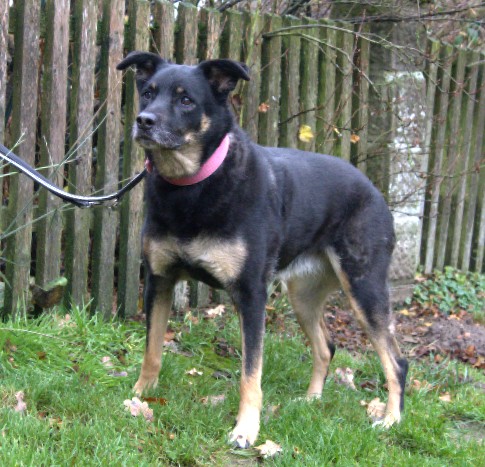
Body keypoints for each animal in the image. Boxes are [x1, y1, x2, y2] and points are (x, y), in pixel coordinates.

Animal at [116, 52, 408, 448]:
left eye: (186, 99)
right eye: (147, 92)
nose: (144, 121)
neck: (192, 185)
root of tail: (376, 192)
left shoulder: (251, 294)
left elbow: (250, 372)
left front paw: (245, 429)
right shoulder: (159, 281)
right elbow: (152, 351)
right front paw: (140, 395)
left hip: (364, 287)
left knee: (396, 361)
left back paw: (391, 419)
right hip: (303, 294)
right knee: (326, 347)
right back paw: (311, 400)